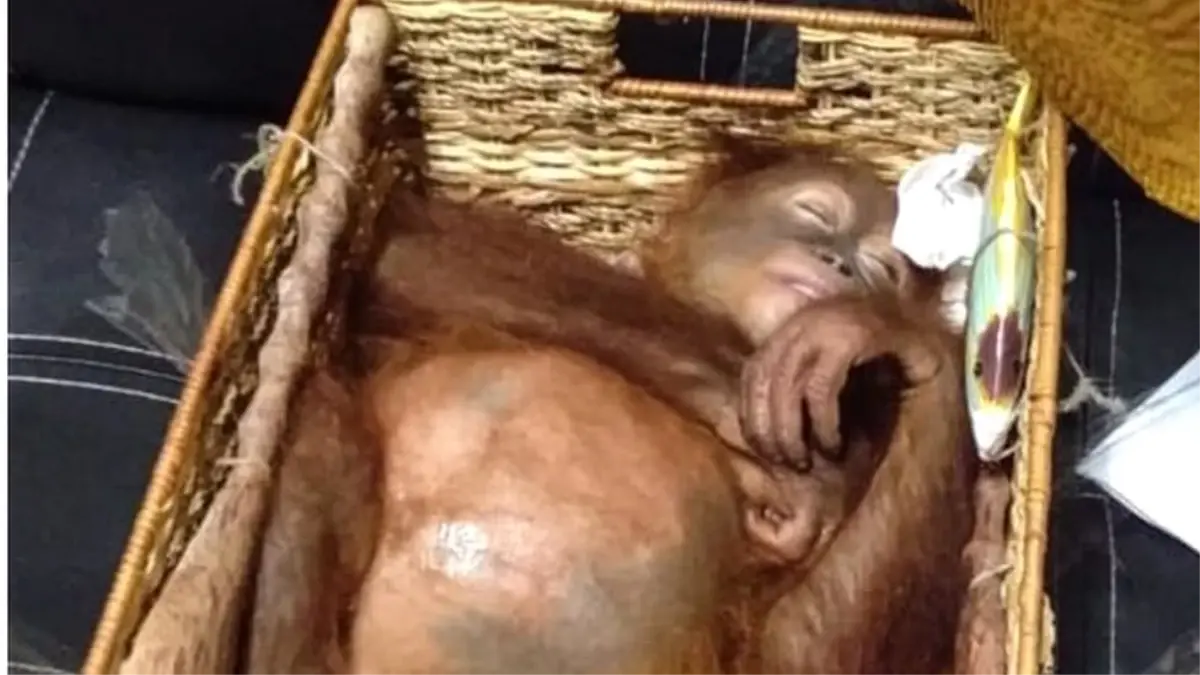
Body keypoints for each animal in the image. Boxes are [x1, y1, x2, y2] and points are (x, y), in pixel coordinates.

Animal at [244, 141, 977, 675]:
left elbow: (799, 658)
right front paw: (764, 426)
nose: (842, 266)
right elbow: (392, 247)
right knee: (319, 420)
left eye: (883, 271)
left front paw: (878, 329)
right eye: (815, 214)